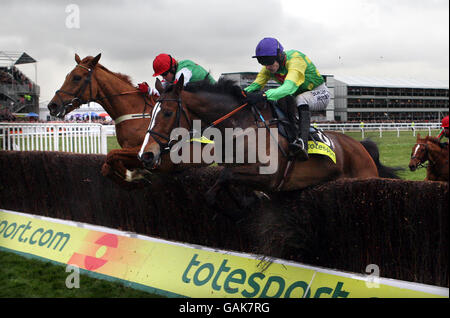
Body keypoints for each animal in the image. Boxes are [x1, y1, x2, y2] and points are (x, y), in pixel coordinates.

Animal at [47, 53, 156, 185]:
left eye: (77, 77)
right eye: (67, 76)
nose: (52, 105)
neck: (135, 112)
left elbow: (112, 155)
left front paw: (134, 174)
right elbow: (108, 164)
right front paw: (133, 173)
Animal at [138, 75, 400, 201]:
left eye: (167, 112)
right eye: (151, 112)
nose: (145, 154)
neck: (241, 126)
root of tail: (361, 147)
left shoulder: (269, 176)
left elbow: (224, 178)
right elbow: (222, 184)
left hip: (363, 177)